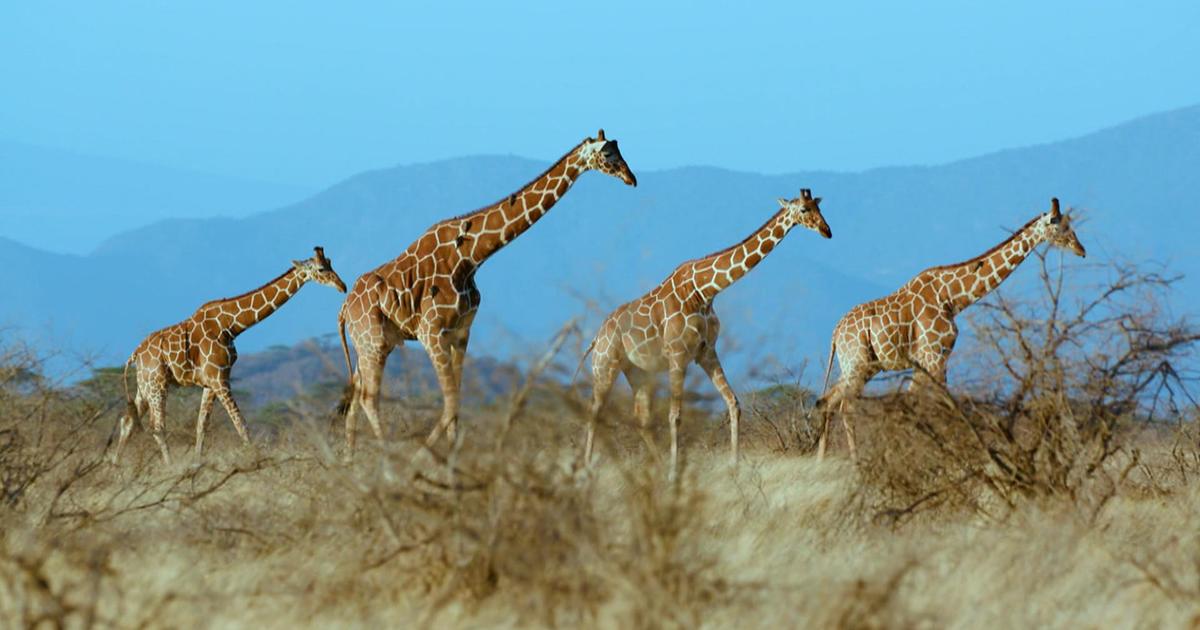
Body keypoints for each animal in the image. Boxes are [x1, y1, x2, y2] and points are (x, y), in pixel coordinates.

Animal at [112, 247, 347, 464]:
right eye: (321, 269)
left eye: (330, 262)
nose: (342, 286)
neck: (231, 325)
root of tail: (135, 354)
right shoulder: (219, 378)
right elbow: (240, 423)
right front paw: (256, 460)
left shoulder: (211, 382)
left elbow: (202, 426)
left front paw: (197, 464)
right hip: (157, 384)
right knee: (157, 427)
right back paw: (169, 467)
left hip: (144, 386)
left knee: (127, 422)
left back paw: (115, 466)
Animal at [337, 130, 637, 453]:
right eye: (607, 154)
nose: (631, 178)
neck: (470, 257)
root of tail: (343, 309)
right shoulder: (432, 332)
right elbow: (450, 402)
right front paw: (425, 454)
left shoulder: (460, 332)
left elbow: (456, 402)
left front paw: (451, 457)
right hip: (373, 341)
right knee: (368, 398)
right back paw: (386, 456)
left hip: (374, 342)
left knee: (355, 398)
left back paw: (350, 460)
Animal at [582, 189, 833, 475]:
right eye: (804, 210)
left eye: (819, 207)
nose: (827, 231)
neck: (704, 291)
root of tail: (597, 336)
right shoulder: (677, 355)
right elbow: (675, 416)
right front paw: (674, 472)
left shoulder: (706, 351)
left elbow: (733, 403)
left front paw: (734, 465)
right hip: (605, 365)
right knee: (594, 412)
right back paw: (587, 468)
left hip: (637, 371)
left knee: (641, 418)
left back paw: (655, 467)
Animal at [816, 198, 1086, 460]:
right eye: (1057, 225)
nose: (1081, 249)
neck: (952, 298)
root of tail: (835, 333)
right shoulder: (934, 357)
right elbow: (931, 407)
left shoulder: (932, 361)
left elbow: (922, 406)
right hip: (857, 364)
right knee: (845, 405)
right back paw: (855, 461)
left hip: (860, 366)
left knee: (826, 401)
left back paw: (821, 459)